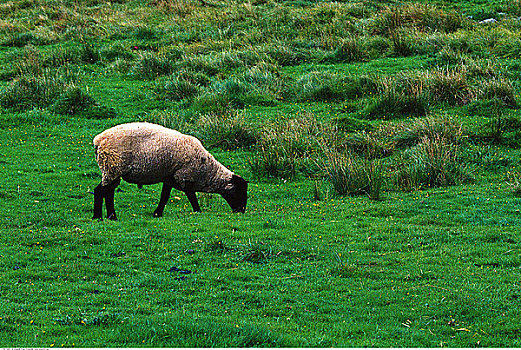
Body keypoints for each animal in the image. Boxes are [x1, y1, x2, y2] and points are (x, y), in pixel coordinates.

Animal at [92, 122, 247, 219]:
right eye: (239, 191)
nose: (242, 211)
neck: (206, 171)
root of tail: (98, 140)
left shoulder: (170, 177)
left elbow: (164, 196)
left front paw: (157, 213)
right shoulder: (184, 175)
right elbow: (191, 196)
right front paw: (198, 211)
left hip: (111, 169)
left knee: (109, 191)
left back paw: (111, 216)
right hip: (112, 166)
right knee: (101, 191)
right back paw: (99, 217)